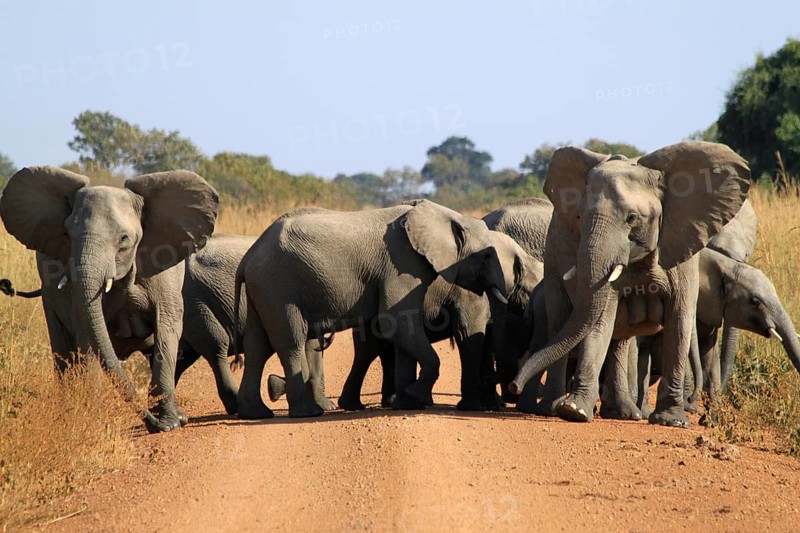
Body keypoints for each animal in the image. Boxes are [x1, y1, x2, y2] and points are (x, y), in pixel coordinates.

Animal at [0, 166, 219, 432]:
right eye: (67, 234)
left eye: (124, 239)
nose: (152, 423)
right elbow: (88, 335)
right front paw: (90, 418)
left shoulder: (164, 271)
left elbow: (166, 330)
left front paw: (170, 423)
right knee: (62, 348)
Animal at [234, 199, 510, 418]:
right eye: (486, 256)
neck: (446, 216)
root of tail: (249, 256)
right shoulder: (401, 265)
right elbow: (398, 322)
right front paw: (415, 395)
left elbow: (403, 329)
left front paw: (406, 403)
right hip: (278, 285)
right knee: (290, 341)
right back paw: (306, 413)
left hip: (263, 288)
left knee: (257, 346)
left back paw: (256, 413)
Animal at [508, 141, 750, 428]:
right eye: (579, 217)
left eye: (632, 218)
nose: (512, 386)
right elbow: (601, 319)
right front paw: (575, 412)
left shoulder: (682, 244)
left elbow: (679, 319)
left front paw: (671, 421)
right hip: (553, 259)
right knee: (561, 321)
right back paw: (551, 409)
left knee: (620, 341)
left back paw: (623, 413)